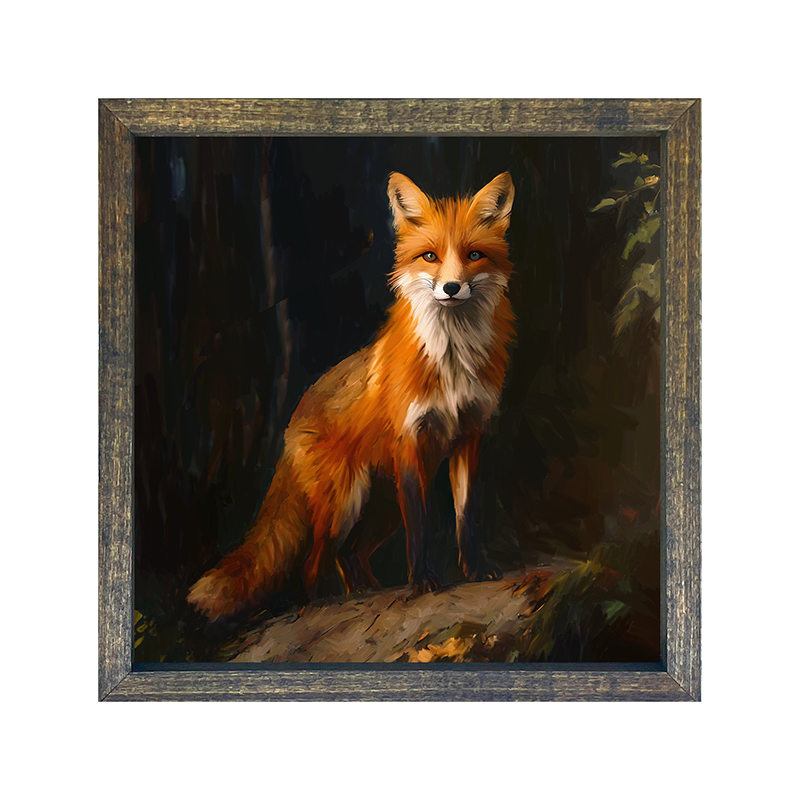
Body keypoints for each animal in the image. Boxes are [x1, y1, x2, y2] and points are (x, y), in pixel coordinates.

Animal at [188, 171, 516, 621]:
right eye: (430, 256)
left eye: (474, 255)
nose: (452, 287)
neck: (452, 359)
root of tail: (293, 419)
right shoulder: (410, 443)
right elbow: (421, 528)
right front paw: (423, 582)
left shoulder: (469, 435)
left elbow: (466, 516)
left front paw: (475, 570)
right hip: (346, 501)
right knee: (314, 563)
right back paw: (327, 602)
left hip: (381, 507)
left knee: (351, 556)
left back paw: (365, 594)